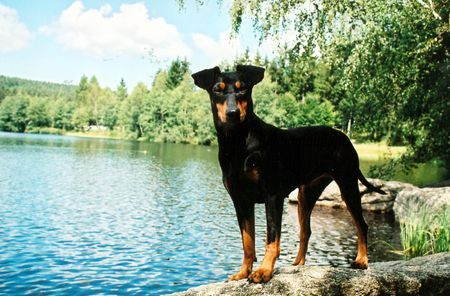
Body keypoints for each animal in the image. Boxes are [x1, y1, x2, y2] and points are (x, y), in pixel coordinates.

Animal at [192, 65, 384, 284]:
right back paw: (297, 264)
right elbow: (247, 243)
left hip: (347, 185)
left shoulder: (273, 197)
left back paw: (361, 260)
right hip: (306, 195)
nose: (233, 113)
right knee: (306, 231)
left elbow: (272, 239)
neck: (238, 144)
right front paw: (243, 273)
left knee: (362, 225)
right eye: (218, 89)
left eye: (243, 89)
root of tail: (345, 138)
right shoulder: (241, 201)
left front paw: (264, 271)